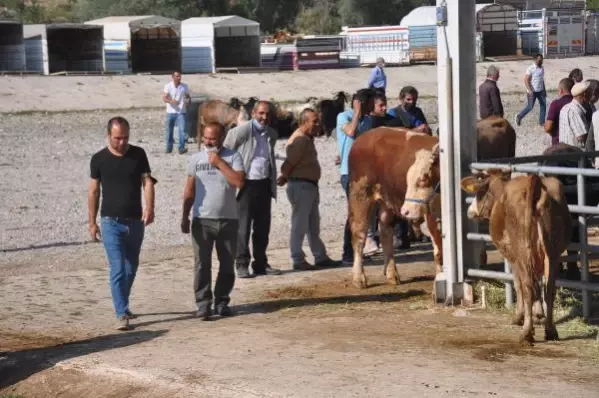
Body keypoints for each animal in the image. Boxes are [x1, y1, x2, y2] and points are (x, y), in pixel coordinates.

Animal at [464, 170, 572, 346]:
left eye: (479, 193)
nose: (470, 211)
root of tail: (534, 182)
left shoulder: (513, 258)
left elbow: (518, 285)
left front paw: (520, 317)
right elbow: (539, 284)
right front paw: (538, 314)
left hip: (523, 253)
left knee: (528, 287)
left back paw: (526, 333)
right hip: (551, 253)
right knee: (549, 288)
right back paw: (550, 330)